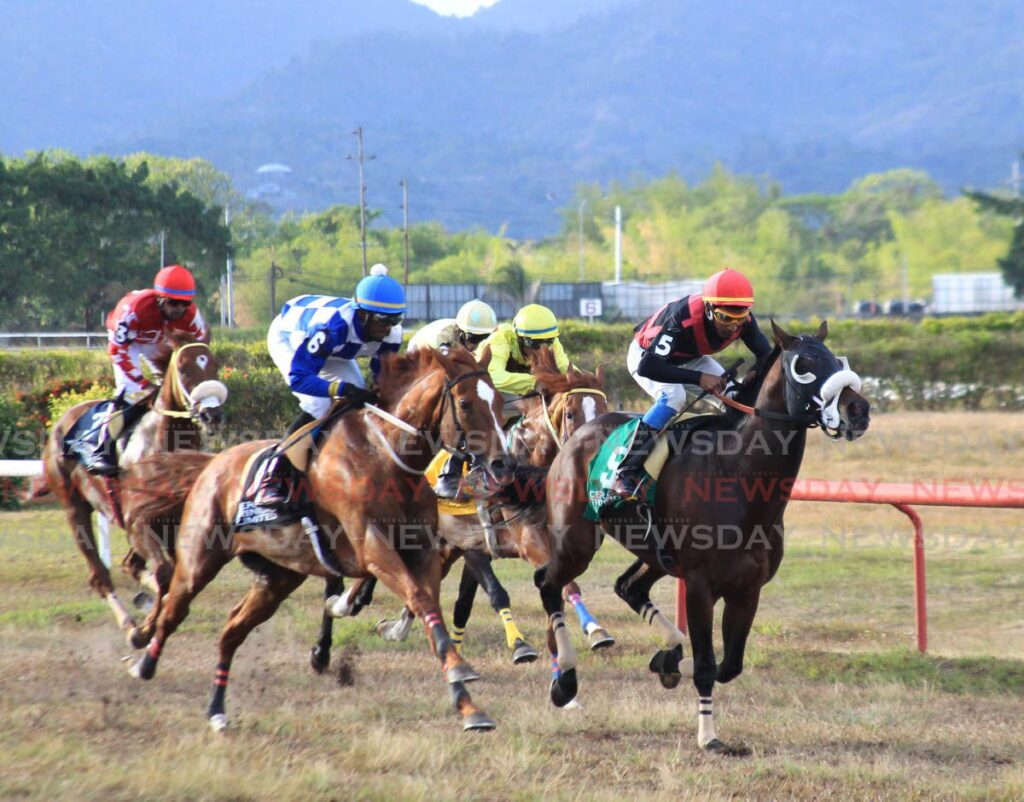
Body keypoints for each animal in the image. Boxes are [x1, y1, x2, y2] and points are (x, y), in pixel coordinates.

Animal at [39, 335, 226, 643]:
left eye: (214, 365)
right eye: (183, 369)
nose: (212, 415)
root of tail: (64, 418)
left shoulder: (174, 525)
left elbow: (170, 573)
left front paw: (157, 612)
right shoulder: (137, 522)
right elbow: (164, 572)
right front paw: (147, 627)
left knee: (132, 566)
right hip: (74, 506)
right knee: (100, 575)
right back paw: (129, 624)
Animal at [128, 346, 512, 733]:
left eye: (497, 400)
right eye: (464, 404)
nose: (501, 464)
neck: (386, 454)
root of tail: (213, 462)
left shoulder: (422, 552)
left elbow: (430, 608)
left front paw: (467, 705)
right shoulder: (371, 547)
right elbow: (419, 599)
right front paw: (459, 670)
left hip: (278, 577)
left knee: (232, 629)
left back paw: (217, 710)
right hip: (201, 556)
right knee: (174, 607)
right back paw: (143, 658)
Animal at [532, 319, 868, 753]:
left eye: (837, 361)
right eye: (804, 365)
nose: (858, 410)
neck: (737, 475)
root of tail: (575, 435)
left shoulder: (747, 589)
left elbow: (729, 664)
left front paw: (669, 663)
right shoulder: (699, 585)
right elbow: (708, 665)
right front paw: (709, 737)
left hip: (653, 551)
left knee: (628, 586)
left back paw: (667, 651)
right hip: (577, 541)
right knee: (548, 582)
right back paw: (565, 681)